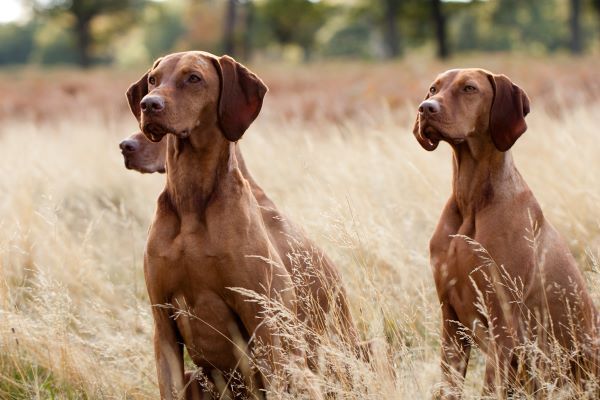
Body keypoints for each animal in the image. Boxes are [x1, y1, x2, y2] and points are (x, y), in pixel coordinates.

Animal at [125, 51, 360, 398]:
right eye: (153, 80)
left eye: (193, 78)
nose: (149, 104)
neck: (192, 202)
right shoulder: (164, 325)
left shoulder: (263, 322)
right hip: (197, 376)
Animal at [412, 68, 600, 396]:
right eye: (433, 89)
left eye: (469, 88)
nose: (426, 109)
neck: (472, 200)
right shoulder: (450, 319)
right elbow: (448, 386)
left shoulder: (503, 321)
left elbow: (490, 387)